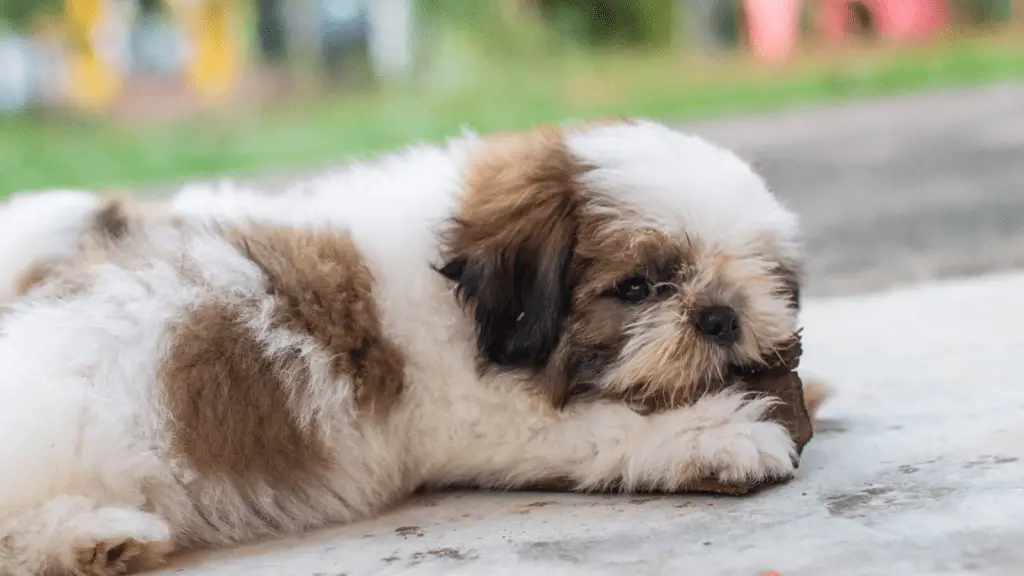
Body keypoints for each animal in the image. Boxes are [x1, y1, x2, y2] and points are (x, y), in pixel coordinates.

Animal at [4, 118, 811, 569]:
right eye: (639, 287)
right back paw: (92, 539)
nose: (721, 316)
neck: (460, 294)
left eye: (763, 276)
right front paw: (716, 435)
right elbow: (603, 428)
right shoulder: (479, 419)